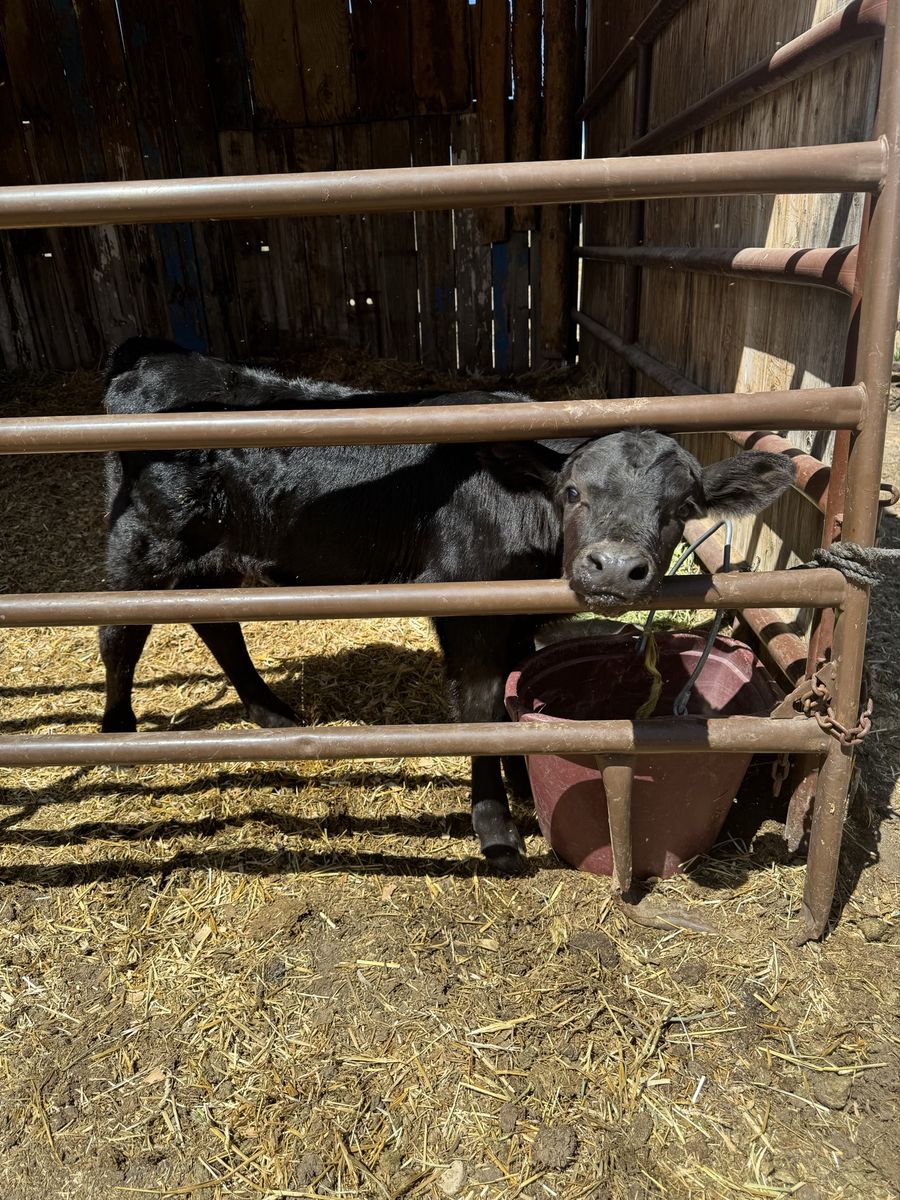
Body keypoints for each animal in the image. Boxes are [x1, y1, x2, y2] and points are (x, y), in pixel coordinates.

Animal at [99, 338, 795, 860]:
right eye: (573, 492)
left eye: (682, 507)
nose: (616, 568)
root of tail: (153, 357)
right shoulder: (467, 609)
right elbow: (482, 708)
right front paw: (495, 825)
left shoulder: (513, 619)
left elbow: (512, 696)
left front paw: (522, 783)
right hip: (144, 542)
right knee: (119, 631)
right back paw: (117, 731)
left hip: (215, 553)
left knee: (215, 622)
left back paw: (270, 711)